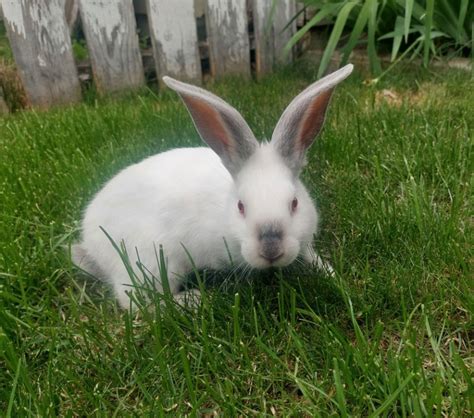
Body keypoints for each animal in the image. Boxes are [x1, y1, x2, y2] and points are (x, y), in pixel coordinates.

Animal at [72, 64, 354, 306]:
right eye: (241, 207)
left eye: (294, 203)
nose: (271, 249)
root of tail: (91, 240)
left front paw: (333, 276)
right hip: (151, 261)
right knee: (139, 302)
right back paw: (192, 300)